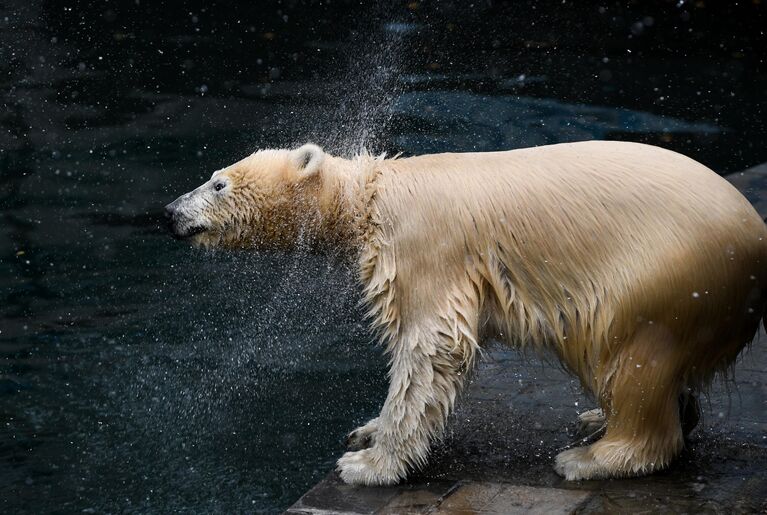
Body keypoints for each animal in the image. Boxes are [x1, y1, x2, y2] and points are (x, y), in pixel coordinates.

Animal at [165, 142, 764, 488]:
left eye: (217, 181)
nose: (169, 213)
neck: (367, 197)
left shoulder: (424, 249)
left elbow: (428, 349)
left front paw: (369, 465)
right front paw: (365, 431)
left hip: (664, 274)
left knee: (635, 353)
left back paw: (591, 456)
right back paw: (601, 417)